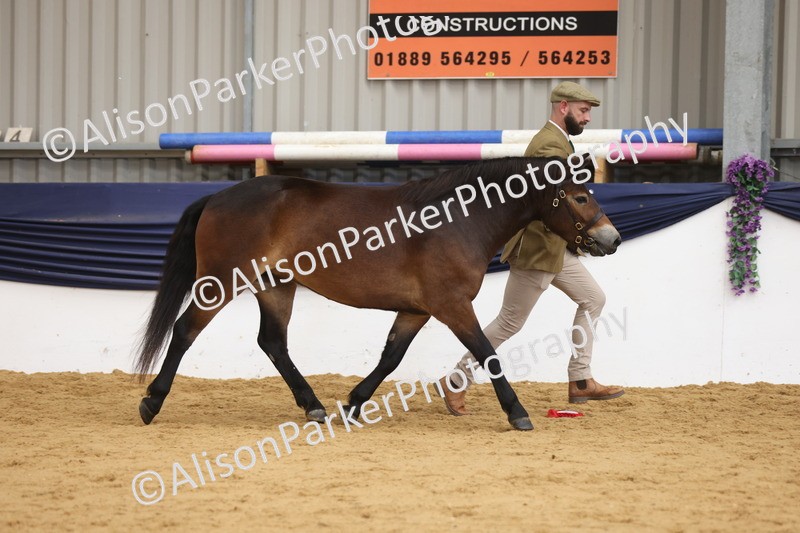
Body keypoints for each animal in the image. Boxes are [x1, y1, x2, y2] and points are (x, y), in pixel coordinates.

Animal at [135, 154, 621, 431]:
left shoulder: (417, 310)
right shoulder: (452, 306)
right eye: (579, 197)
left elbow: (391, 357)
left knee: (272, 342)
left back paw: (314, 407)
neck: (455, 219)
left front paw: (353, 404)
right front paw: (517, 413)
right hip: (220, 283)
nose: (611, 239)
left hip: (276, 287)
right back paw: (151, 403)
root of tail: (217, 197)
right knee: (185, 331)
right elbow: (488, 353)